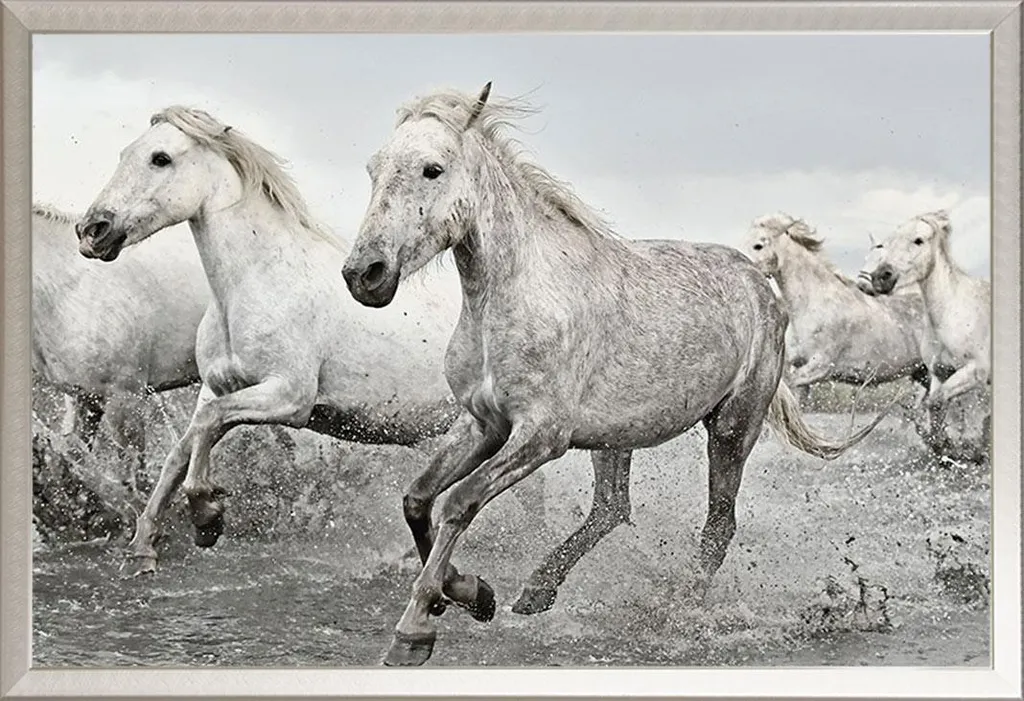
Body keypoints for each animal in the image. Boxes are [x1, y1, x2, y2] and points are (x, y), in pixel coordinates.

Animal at [73, 106, 643, 609]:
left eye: (160, 158)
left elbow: (208, 432)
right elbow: (182, 450)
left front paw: (208, 517)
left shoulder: (288, 398)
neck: (252, 283)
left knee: (599, 508)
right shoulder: (218, 386)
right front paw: (142, 552)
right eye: (127, 152)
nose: (93, 230)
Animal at [341, 83, 896, 666]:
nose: (365, 275)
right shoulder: (483, 424)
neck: (513, 299)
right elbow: (418, 499)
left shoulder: (540, 436)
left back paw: (677, 613)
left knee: (718, 525)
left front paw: (415, 629)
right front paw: (476, 594)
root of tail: (763, 288)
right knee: (612, 509)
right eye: (374, 168)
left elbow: (458, 502)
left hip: (731, 429)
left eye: (433, 169)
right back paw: (537, 591)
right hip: (614, 437)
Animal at [857, 210, 990, 415]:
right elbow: (934, 406)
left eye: (918, 240)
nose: (880, 277)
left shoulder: (976, 372)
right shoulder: (939, 373)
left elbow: (938, 402)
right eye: (890, 241)